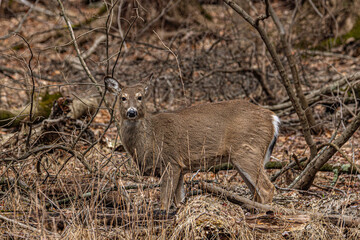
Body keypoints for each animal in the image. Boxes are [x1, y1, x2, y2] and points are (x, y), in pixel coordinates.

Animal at [105, 76, 282, 211]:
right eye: (123, 97)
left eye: (140, 96)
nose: (132, 112)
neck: (149, 139)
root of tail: (273, 118)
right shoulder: (180, 167)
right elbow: (179, 200)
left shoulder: (170, 161)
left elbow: (164, 201)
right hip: (242, 157)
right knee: (257, 193)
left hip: (247, 150)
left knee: (267, 189)